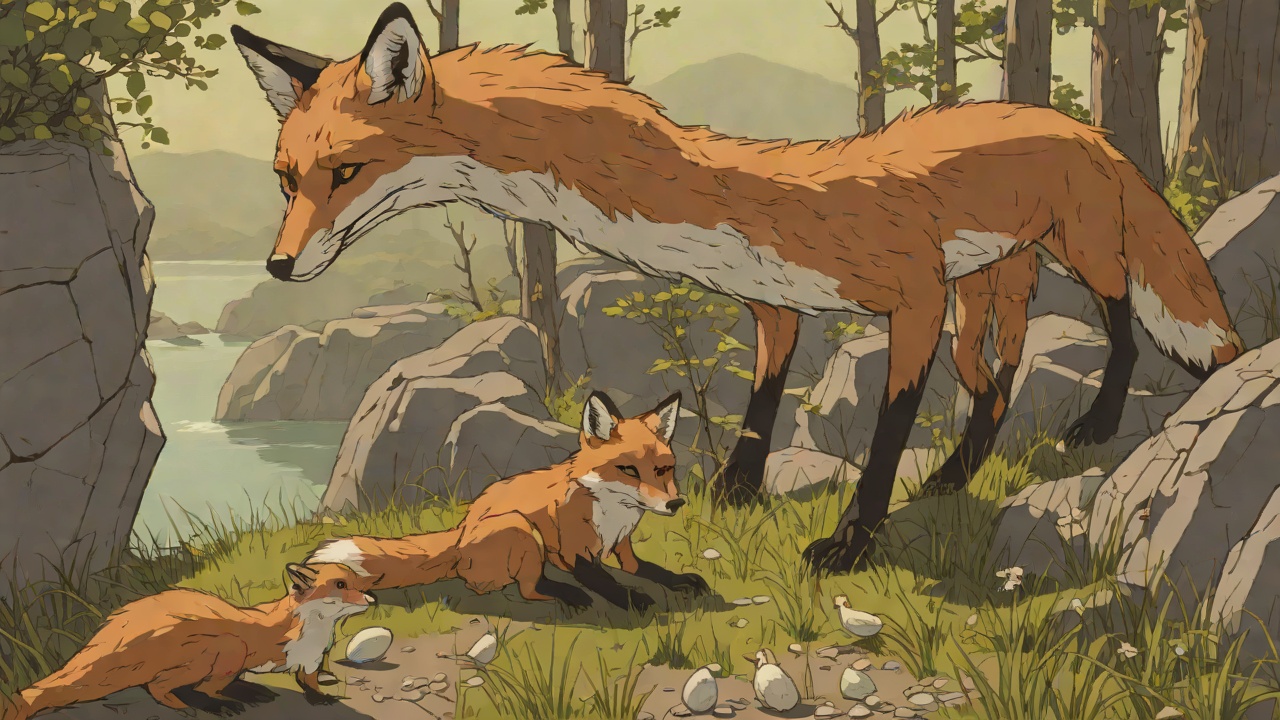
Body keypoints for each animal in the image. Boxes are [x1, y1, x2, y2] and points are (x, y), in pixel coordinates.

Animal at [1, 563, 377, 720]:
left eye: (360, 582)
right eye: (341, 585)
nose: (371, 599)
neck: (309, 636)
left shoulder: (310, 662)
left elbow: (309, 684)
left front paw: (322, 697)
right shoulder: (252, 652)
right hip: (226, 649)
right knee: (163, 686)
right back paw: (211, 704)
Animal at [231, 3, 1243, 573]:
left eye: (347, 171)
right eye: (285, 179)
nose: (278, 267)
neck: (736, 194)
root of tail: (1076, 122)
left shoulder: (910, 297)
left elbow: (883, 438)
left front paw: (851, 544)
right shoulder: (775, 303)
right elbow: (760, 404)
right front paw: (736, 491)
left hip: (1073, 257)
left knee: (1121, 328)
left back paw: (1096, 426)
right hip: (984, 298)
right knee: (995, 390)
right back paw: (955, 478)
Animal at [306, 391, 709, 612]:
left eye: (665, 469)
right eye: (628, 469)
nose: (674, 505)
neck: (611, 514)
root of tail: (460, 533)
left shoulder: (623, 547)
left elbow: (650, 570)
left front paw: (682, 581)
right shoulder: (575, 552)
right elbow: (606, 582)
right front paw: (634, 601)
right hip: (521, 529)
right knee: (527, 589)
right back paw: (567, 594)